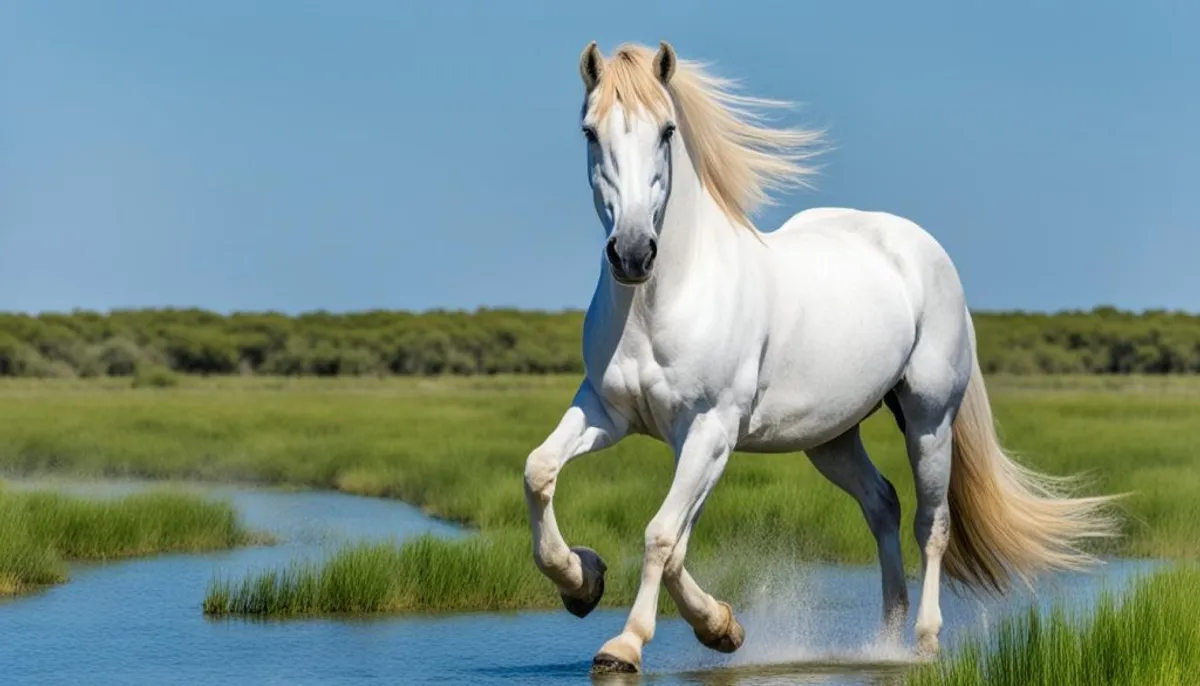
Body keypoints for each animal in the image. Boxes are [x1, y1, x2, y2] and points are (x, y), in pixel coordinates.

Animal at [525, 40, 1113, 671]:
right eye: (590, 131)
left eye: (666, 130)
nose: (633, 254)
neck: (662, 302)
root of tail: (921, 247)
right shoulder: (608, 413)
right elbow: (544, 473)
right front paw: (590, 584)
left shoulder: (710, 430)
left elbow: (662, 535)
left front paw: (627, 644)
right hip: (831, 437)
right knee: (883, 504)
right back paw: (884, 635)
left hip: (929, 420)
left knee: (932, 524)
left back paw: (923, 640)